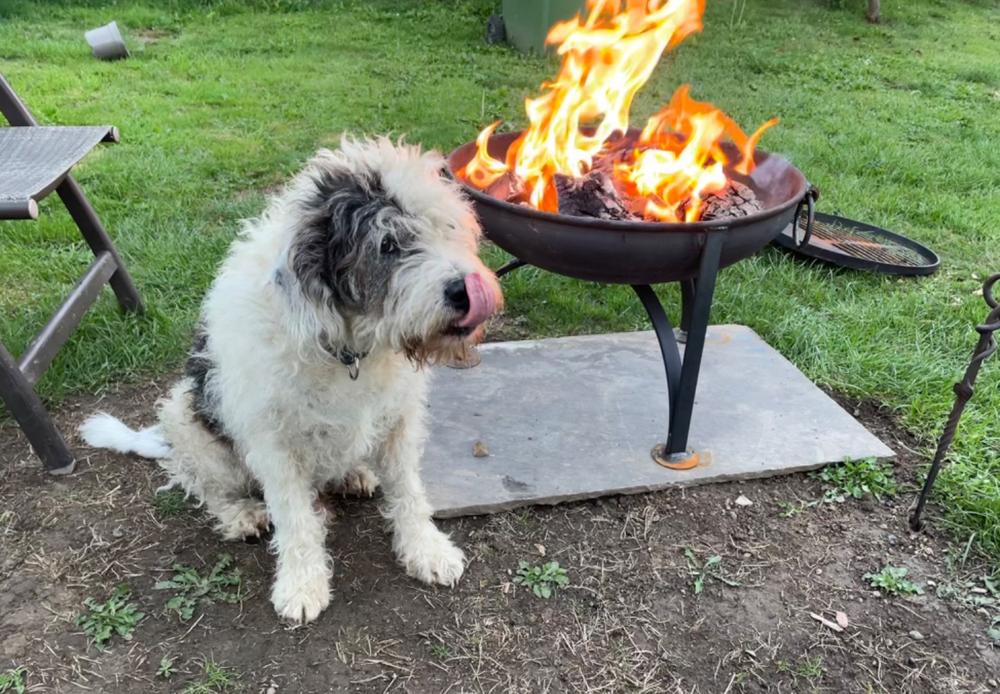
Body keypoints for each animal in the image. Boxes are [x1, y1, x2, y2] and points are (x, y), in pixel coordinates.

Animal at [80, 139, 500, 628]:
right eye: (388, 243)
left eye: (449, 226)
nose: (465, 291)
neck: (348, 349)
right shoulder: (273, 444)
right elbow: (295, 518)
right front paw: (301, 585)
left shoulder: (398, 421)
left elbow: (409, 492)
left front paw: (426, 550)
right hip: (189, 419)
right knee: (201, 484)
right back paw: (240, 514)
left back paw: (353, 473)